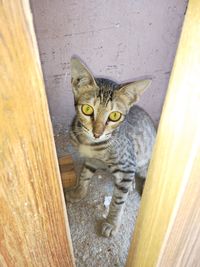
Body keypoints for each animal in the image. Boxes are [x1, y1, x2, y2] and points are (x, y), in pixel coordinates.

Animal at [66, 57, 156, 238]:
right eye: (87, 109)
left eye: (115, 116)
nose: (97, 133)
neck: (91, 144)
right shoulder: (91, 160)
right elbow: (84, 175)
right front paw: (79, 192)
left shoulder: (127, 165)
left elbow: (118, 201)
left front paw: (112, 223)